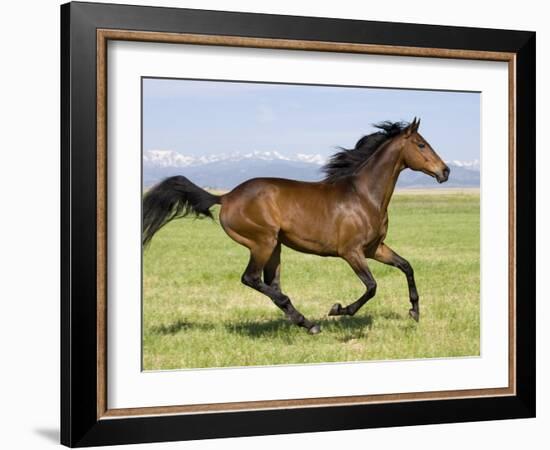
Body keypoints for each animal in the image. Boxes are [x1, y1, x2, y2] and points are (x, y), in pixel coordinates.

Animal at [144, 119, 450, 334]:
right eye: (421, 144)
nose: (445, 171)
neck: (363, 195)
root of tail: (226, 197)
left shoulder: (375, 249)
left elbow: (406, 266)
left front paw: (414, 312)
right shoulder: (351, 252)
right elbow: (372, 286)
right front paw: (338, 309)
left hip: (275, 247)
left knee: (271, 283)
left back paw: (302, 321)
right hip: (262, 242)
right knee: (251, 279)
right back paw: (309, 322)